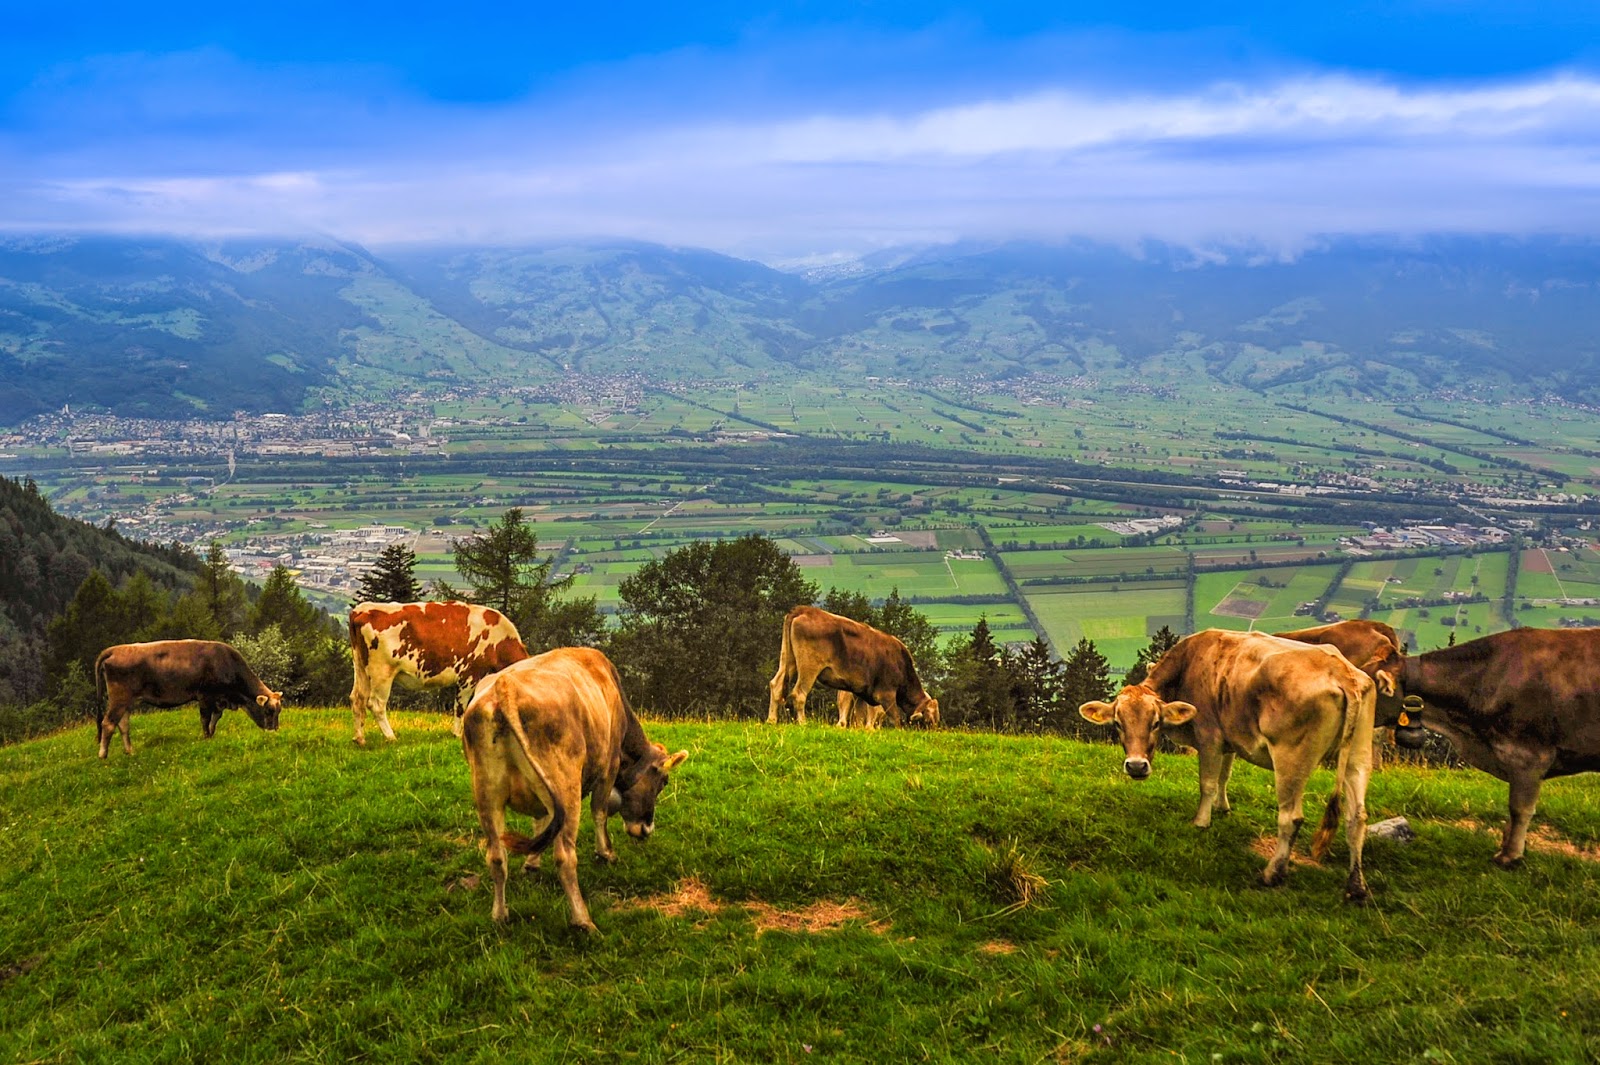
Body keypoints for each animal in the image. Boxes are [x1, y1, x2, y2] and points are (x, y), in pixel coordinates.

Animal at [94, 639, 283, 754]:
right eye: (269, 711)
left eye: (279, 711)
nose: (274, 730)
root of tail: (115, 650)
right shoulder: (205, 696)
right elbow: (206, 719)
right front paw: (206, 737)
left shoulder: (218, 700)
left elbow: (215, 719)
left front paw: (211, 735)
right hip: (119, 699)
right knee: (108, 723)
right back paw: (103, 755)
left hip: (126, 701)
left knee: (123, 724)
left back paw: (130, 751)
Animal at [347, 601, 528, 741]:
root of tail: (361, 609)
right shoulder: (469, 675)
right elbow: (460, 707)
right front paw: (457, 734)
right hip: (382, 672)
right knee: (375, 704)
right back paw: (391, 737)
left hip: (360, 668)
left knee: (357, 698)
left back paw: (359, 738)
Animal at [460, 642, 691, 927]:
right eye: (663, 782)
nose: (647, 829)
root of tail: (506, 687)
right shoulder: (608, 766)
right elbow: (600, 812)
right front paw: (606, 853)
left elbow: (541, 824)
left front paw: (531, 863)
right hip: (566, 787)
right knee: (565, 857)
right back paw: (582, 920)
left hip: (488, 795)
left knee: (496, 856)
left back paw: (500, 915)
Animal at [1081, 626, 1382, 901]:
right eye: (1118, 724)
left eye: (1155, 723)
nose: (1136, 766)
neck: (1189, 662)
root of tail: (1340, 668)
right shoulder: (1229, 738)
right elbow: (1224, 775)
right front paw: (1222, 807)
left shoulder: (1209, 735)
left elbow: (1208, 782)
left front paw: (1201, 821)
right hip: (1358, 756)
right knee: (1356, 817)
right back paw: (1356, 886)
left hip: (1291, 757)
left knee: (1291, 818)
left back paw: (1272, 873)